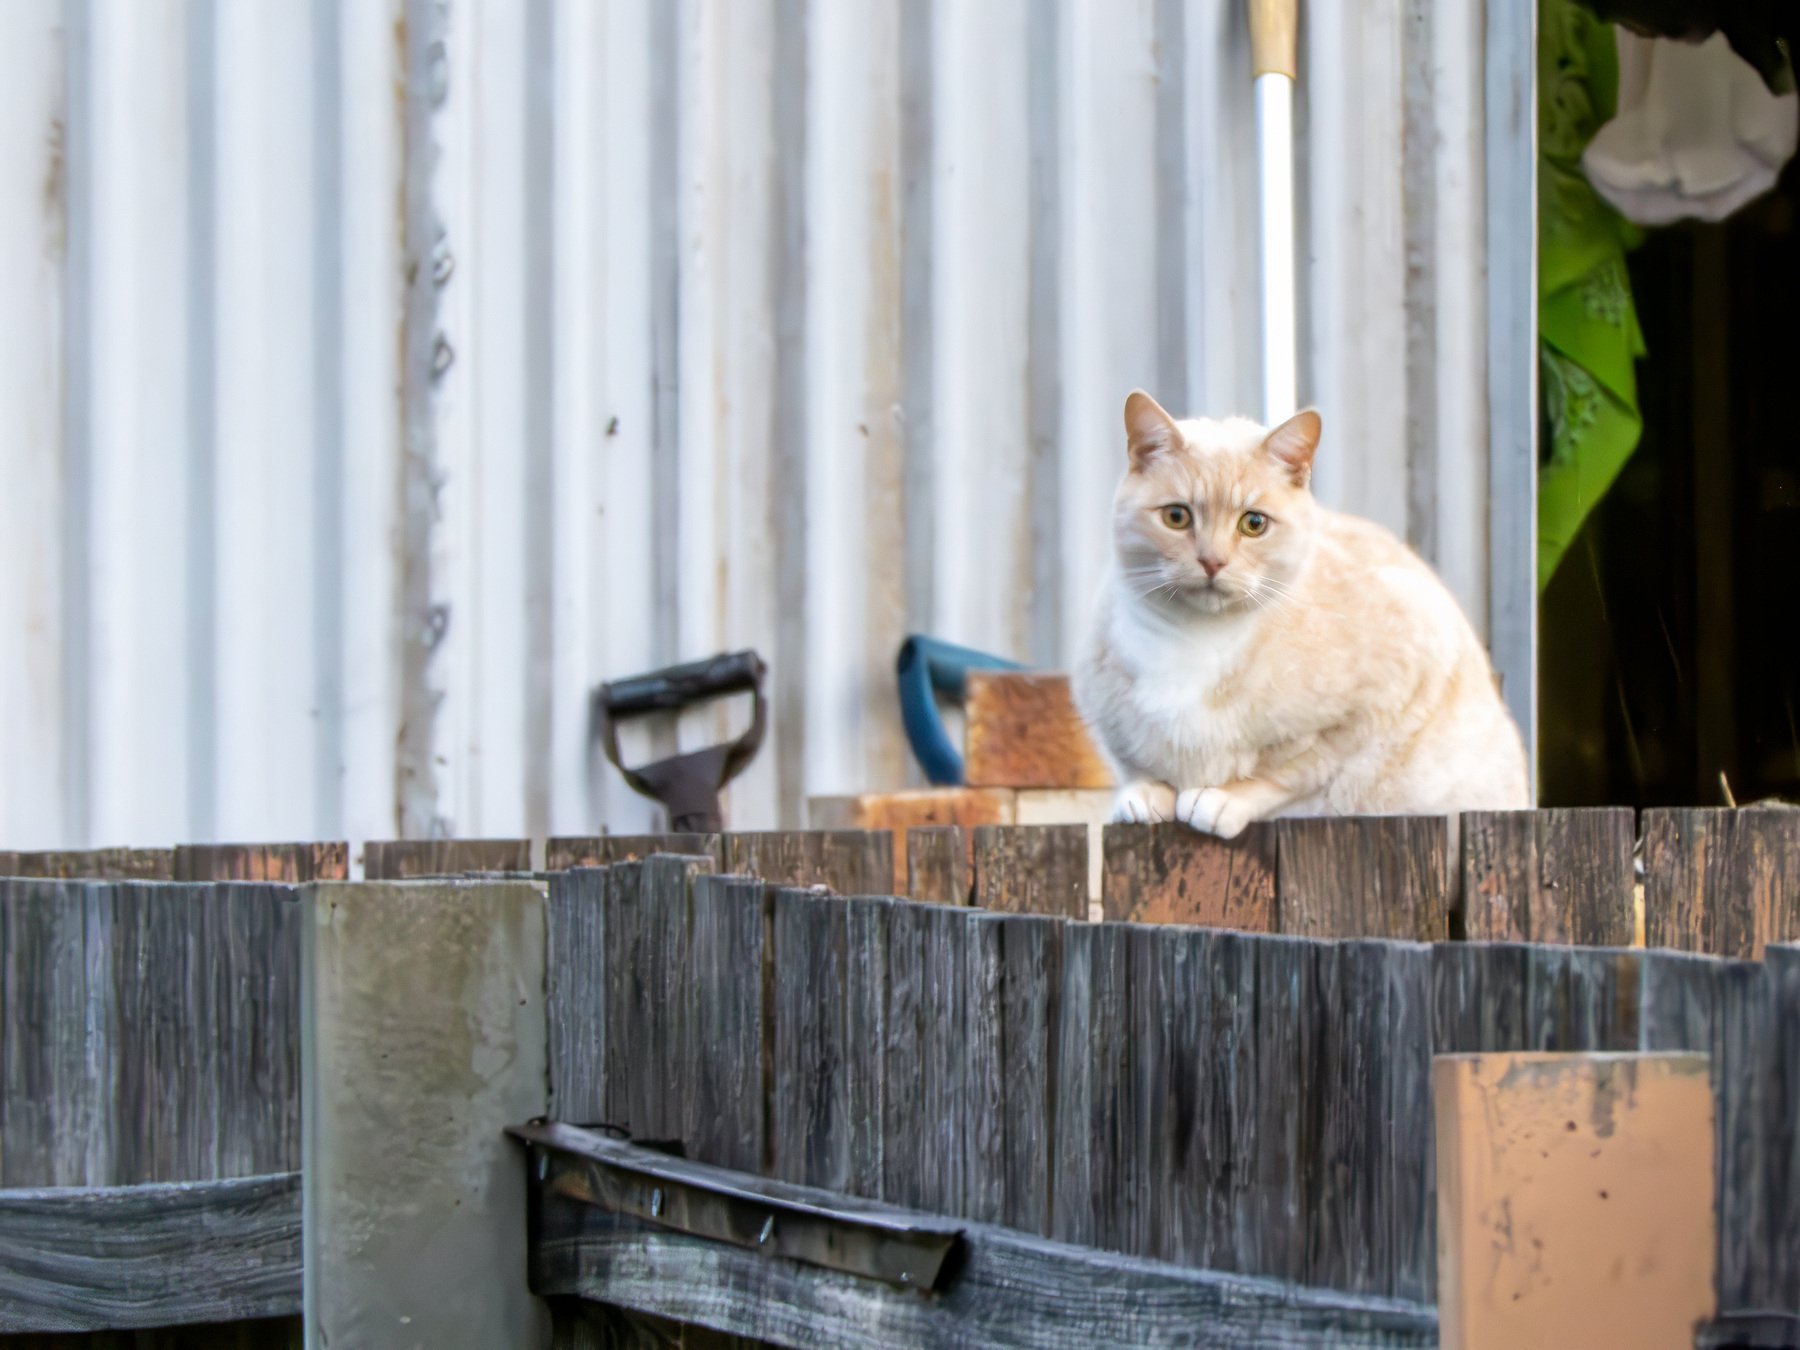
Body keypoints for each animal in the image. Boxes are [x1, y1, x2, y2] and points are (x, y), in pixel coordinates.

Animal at [1072, 385, 1526, 842]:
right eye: (1176, 516)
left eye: (1254, 524)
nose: (1212, 562)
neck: (1194, 638)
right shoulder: (1109, 718)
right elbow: (1135, 764)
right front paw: (1145, 794)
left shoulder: (1383, 695)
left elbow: (1289, 772)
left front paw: (1222, 800)